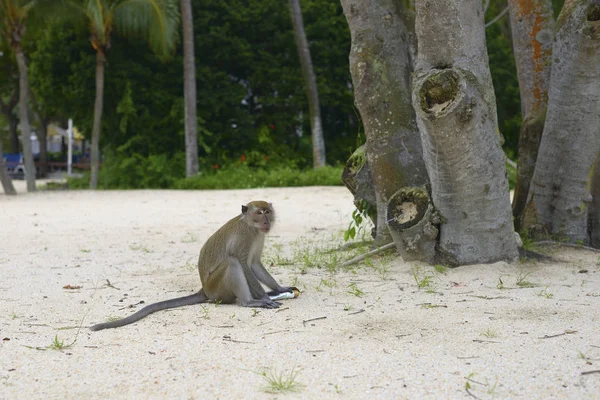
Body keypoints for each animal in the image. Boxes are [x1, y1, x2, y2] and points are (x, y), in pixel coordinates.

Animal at [89, 200, 298, 332]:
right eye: (259, 212)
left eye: (267, 212)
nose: (266, 220)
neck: (251, 225)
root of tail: (204, 290)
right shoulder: (245, 237)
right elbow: (244, 265)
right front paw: (264, 297)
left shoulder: (258, 236)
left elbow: (254, 265)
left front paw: (279, 288)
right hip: (217, 287)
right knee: (232, 262)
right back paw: (250, 301)